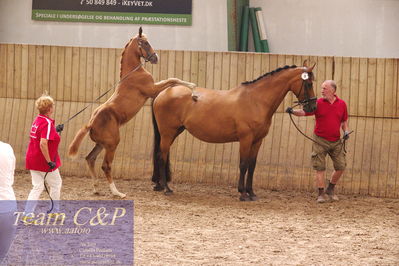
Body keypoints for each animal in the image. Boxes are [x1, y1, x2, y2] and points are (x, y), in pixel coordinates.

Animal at [69, 27, 197, 197]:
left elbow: (171, 80)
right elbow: (172, 79)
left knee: (90, 159)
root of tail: (90, 123)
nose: (156, 58)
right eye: (146, 43)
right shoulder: (152, 89)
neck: (134, 73)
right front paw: (193, 87)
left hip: (101, 144)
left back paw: (96, 188)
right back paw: (117, 193)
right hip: (112, 144)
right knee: (106, 165)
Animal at [152, 62, 318, 200]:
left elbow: (252, 165)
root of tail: (164, 92)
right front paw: (242, 193)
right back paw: (166, 188)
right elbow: (243, 164)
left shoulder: (257, 140)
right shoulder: (246, 139)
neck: (256, 100)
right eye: (309, 84)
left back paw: (159, 185)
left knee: (160, 155)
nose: (312, 107)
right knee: (162, 156)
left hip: (174, 132)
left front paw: (251, 193)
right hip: (167, 133)